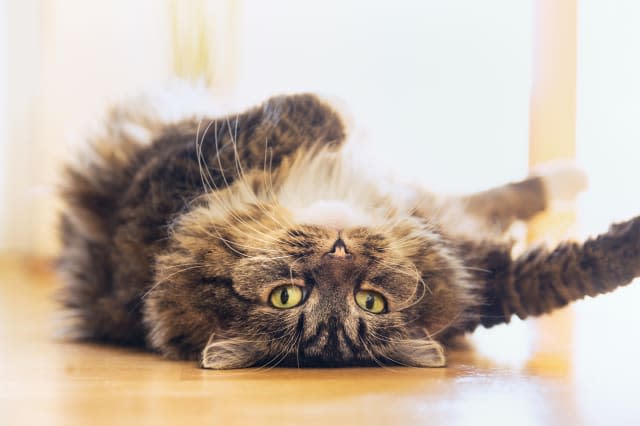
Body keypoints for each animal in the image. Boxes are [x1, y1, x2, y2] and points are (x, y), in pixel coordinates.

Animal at [56, 84, 640, 370]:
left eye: (371, 302)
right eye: (287, 296)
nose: (339, 252)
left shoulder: (486, 273)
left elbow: (582, 265)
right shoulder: (160, 179)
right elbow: (313, 113)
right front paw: (338, 112)